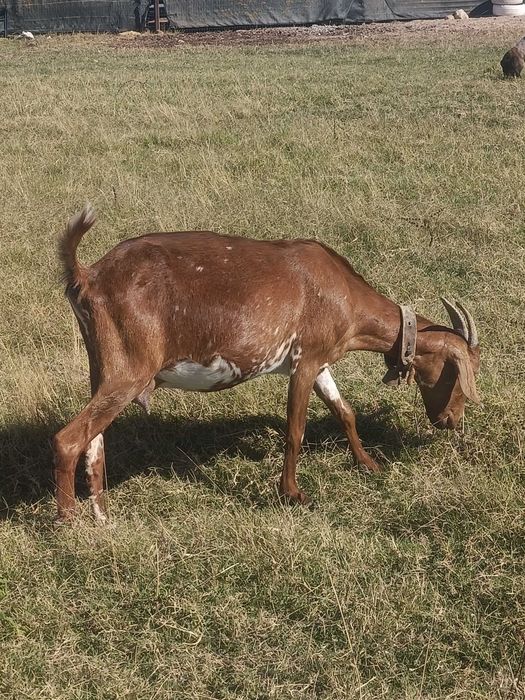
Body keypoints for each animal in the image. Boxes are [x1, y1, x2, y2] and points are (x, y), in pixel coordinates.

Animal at [54, 205, 480, 523]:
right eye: (459, 374)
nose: (451, 420)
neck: (343, 292)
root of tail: (86, 275)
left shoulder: (321, 362)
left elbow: (345, 412)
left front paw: (368, 464)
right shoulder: (305, 360)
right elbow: (295, 430)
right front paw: (292, 493)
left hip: (104, 370)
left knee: (94, 442)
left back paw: (103, 517)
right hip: (128, 371)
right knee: (68, 440)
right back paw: (69, 522)